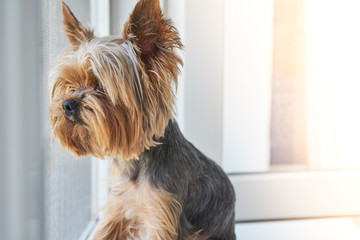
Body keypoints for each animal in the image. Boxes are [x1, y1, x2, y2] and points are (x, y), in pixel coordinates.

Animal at [50, 0, 236, 239]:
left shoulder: (162, 215)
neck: (135, 162)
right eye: (71, 85)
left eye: (100, 85)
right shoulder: (118, 208)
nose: (67, 104)